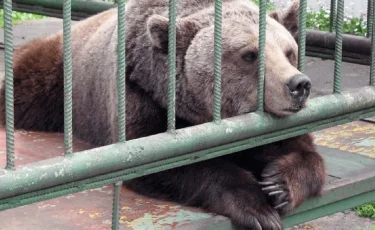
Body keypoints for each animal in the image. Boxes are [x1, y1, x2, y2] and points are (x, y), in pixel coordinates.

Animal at [0, 0, 326, 229]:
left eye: (288, 51)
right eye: (249, 55)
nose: (298, 85)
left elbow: (303, 151)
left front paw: (278, 185)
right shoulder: (140, 95)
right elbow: (165, 166)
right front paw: (257, 208)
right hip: (55, 82)